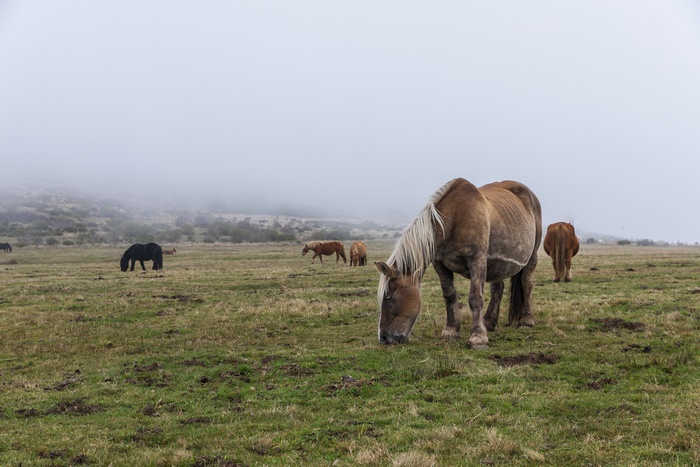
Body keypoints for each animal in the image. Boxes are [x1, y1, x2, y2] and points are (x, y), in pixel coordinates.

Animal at [375, 178, 542, 349]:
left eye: (388, 297)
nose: (384, 337)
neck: (453, 220)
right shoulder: (440, 264)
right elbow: (449, 295)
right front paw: (451, 331)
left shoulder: (477, 260)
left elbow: (476, 298)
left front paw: (478, 337)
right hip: (497, 264)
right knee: (497, 288)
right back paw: (489, 322)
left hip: (531, 257)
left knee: (526, 283)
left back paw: (526, 320)